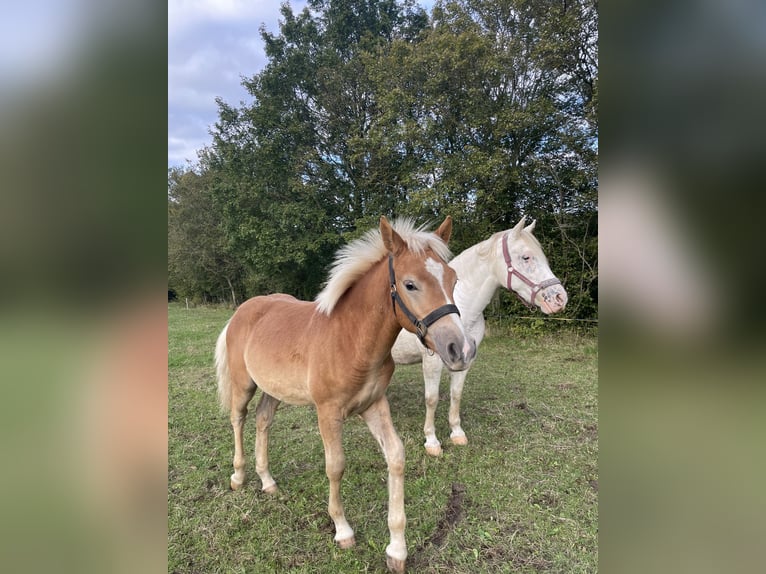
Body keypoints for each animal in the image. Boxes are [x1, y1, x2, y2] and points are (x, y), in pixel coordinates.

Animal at [392, 218, 568, 456]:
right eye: (526, 257)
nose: (559, 298)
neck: (461, 307)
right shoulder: (432, 360)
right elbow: (431, 399)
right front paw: (432, 441)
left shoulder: (464, 359)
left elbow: (456, 395)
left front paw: (457, 433)